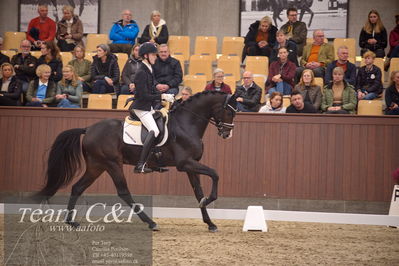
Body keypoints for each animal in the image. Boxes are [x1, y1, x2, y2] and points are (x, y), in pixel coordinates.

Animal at [36, 92, 238, 233]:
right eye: (229, 111)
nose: (227, 134)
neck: (185, 124)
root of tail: (88, 129)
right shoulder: (185, 164)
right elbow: (215, 174)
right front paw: (209, 200)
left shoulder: (191, 165)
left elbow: (198, 192)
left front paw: (210, 222)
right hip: (112, 164)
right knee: (123, 192)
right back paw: (151, 222)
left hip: (96, 166)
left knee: (77, 187)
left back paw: (71, 221)